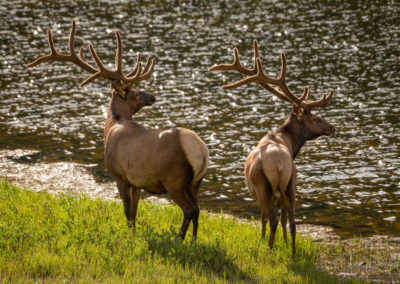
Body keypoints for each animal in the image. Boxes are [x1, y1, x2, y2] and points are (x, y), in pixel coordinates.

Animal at [27, 21, 209, 241]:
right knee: (198, 209)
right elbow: (135, 209)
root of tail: (201, 150)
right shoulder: (136, 181)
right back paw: (193, 240)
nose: (152, 97)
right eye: (136, 92)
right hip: (196, 182)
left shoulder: (119, 175)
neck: (112, 125)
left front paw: (130, 235)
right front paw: (135, 232)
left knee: (190, 209)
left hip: (175, 179)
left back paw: (179, 239)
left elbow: (127, 210)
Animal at [209, 40, 334, 255]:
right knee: (292, 222)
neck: (287, 142)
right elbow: (283, 221)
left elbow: (264, 219)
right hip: (291, 185)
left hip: (263, 188)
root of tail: (278, 165)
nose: (332, 127)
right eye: (315, 118)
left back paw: (268, 248)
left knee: (272, 219)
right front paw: (283, 244)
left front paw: (264, 240)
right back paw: (292, 252)